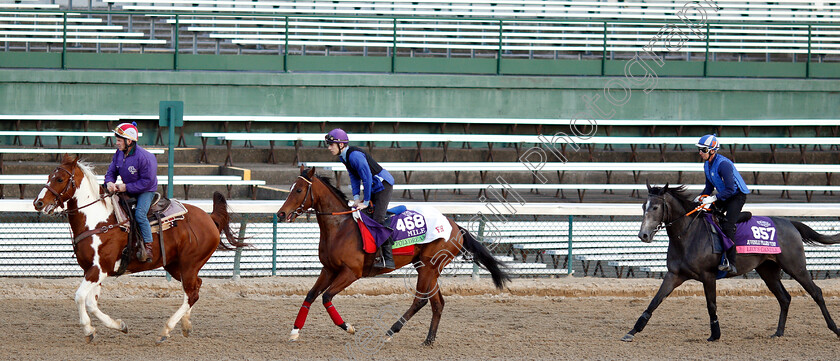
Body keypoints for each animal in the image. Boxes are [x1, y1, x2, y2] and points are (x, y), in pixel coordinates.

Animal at [34, 153, 244, 342]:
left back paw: (166, 330)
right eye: (49, 176)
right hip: (176, 266)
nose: (38, 203)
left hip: (189, 265)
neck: (97, 220)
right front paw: (119, 326)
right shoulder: (93, 271)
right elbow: (92, 303)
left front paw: (88, 330)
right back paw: (185, 325)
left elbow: (79, 297)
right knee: (195, 289)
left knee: (192, 293)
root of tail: (209, 218)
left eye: (60, 179)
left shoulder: (99, 269)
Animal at [278, 167, 512, 344]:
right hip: (428, 267)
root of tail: (454, 225)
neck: (340, 227)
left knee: (421, 300)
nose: (281, 214)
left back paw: (392, 330)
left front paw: (348, 327)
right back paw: (429, 339)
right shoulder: (329, 269)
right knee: (437, 303)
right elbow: (310, 295)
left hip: (429, 267)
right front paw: (295, 331)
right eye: (290, 189)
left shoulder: (351, 273)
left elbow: (326, 297)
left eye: (298, 190)